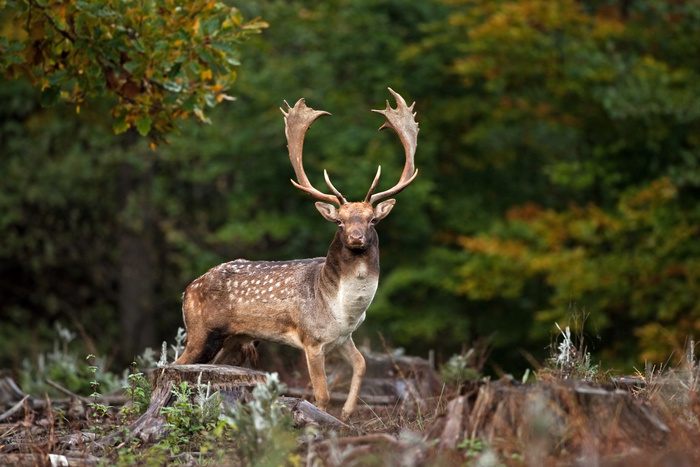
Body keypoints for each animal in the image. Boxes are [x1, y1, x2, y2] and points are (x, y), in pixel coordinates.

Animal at [175, 88, 418, 420]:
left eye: (372, 220)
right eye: (340, 221)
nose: (356, 237)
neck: (343, 309)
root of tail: (187, 290)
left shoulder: (343, 337)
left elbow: (362, 364)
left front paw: (347, 413)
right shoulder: (311, 339)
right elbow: (322, 394)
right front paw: (323, 420)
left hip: (235, 339)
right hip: (200, 330)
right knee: (171, 364)